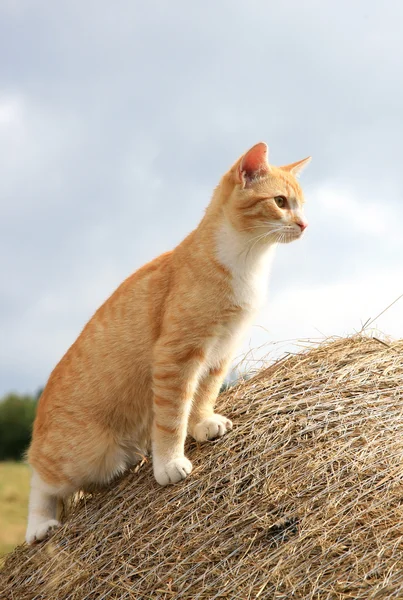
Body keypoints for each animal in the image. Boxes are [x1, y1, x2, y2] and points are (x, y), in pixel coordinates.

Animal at [25, 142, 310, 544]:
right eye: (281, 202)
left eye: (302, 204)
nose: (304, 224)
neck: (247, 260)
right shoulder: (176, 355)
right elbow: (172, 416)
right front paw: (170, 462)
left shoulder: (221, 351)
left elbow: (204, 394)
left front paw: (203, 424)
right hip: (86, 455)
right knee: (41, 478)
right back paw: (38, 525)